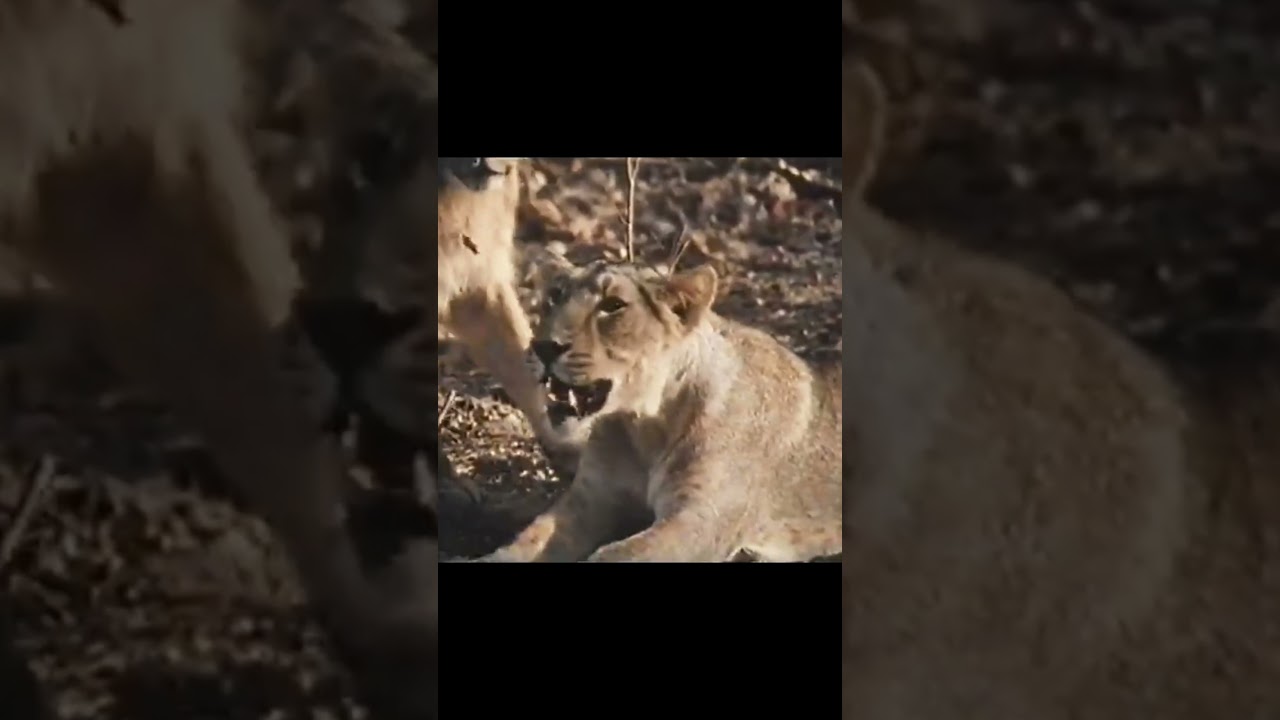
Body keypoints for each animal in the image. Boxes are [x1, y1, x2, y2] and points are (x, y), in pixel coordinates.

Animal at [461, 258, 842, 562]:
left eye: (613, 305)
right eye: (555, 296)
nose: (543, 346)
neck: (645, 425)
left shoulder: (702, 518)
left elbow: (614, 555)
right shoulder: (589, 500)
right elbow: (526, 541)